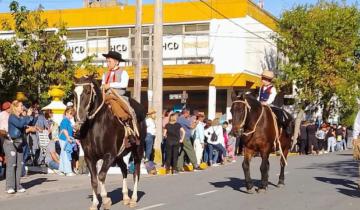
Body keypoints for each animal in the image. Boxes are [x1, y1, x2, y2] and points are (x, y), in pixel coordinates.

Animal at [73, 76, 146, 209]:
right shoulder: (89, 157)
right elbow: (94, 180)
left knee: (136, 173)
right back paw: (125, 197)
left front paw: (106, 200)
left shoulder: (109, 155)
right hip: (119, 155)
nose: (79, 117)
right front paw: (95, 203)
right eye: (74, 93)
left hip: (137, 150)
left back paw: (133, 199)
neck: (95, 126)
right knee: (124, 169)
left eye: (87, 91)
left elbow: (101, 175)